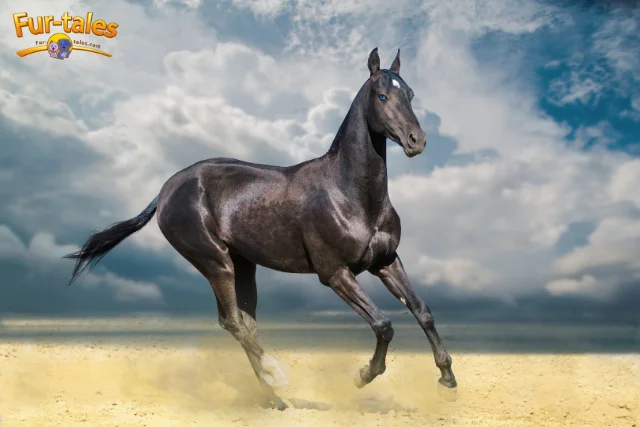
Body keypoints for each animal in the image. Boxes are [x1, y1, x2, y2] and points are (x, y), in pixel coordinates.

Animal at [64, 48, 457, 410]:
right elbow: (383, 324)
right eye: (381, 95)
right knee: (232, 323)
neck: (349, 193)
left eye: (410, 94)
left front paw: (447, 378)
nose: (416, 140)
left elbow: (422, 310)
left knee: (245, 323)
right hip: (215, 262)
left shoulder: (386, 262)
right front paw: (363, 375)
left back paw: (274, 397)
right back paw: (277, 377)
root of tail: (165, 190)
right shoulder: (333, 273)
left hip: (244, 265)